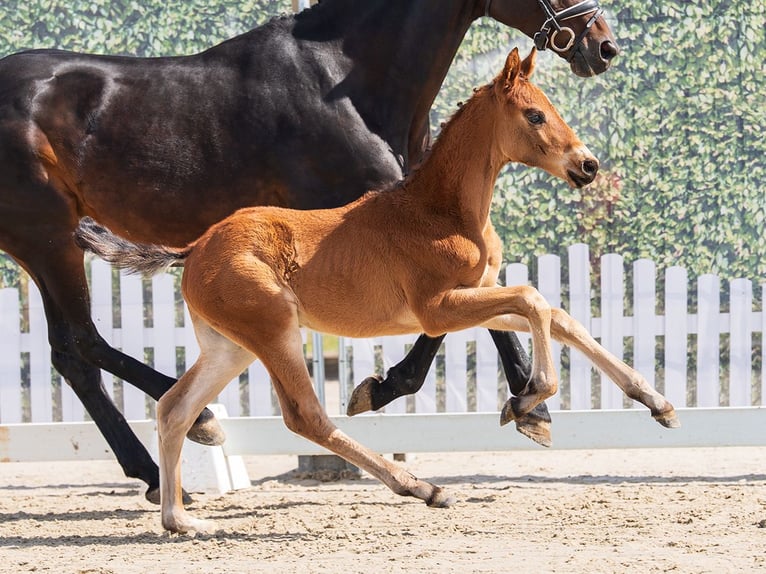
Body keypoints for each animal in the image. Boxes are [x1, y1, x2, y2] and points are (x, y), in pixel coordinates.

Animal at [0, 0, 618, 503]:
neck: (343, 78)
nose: (603, 45)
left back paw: (172, 456)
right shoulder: (385, 246)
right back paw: (188, 443)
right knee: (80, 345)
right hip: (49, 238)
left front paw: (533, 406)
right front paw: (517, 403)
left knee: (75, 352)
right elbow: (473, 320)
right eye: (535, 114)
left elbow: (516, 308)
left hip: (49, 247)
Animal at [75, 47, 679, 534]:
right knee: (305, 417)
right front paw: (525, 399)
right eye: (534, 114)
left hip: (229, 347)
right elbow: (534, 300)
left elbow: (557, 316)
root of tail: (195, 246)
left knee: (176, 409)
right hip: (273, 332)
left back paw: (182, 521)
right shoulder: (437, 310)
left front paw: (658, 404)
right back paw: (422, 487)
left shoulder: (470, 299)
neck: (439, 210)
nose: (588, 165)